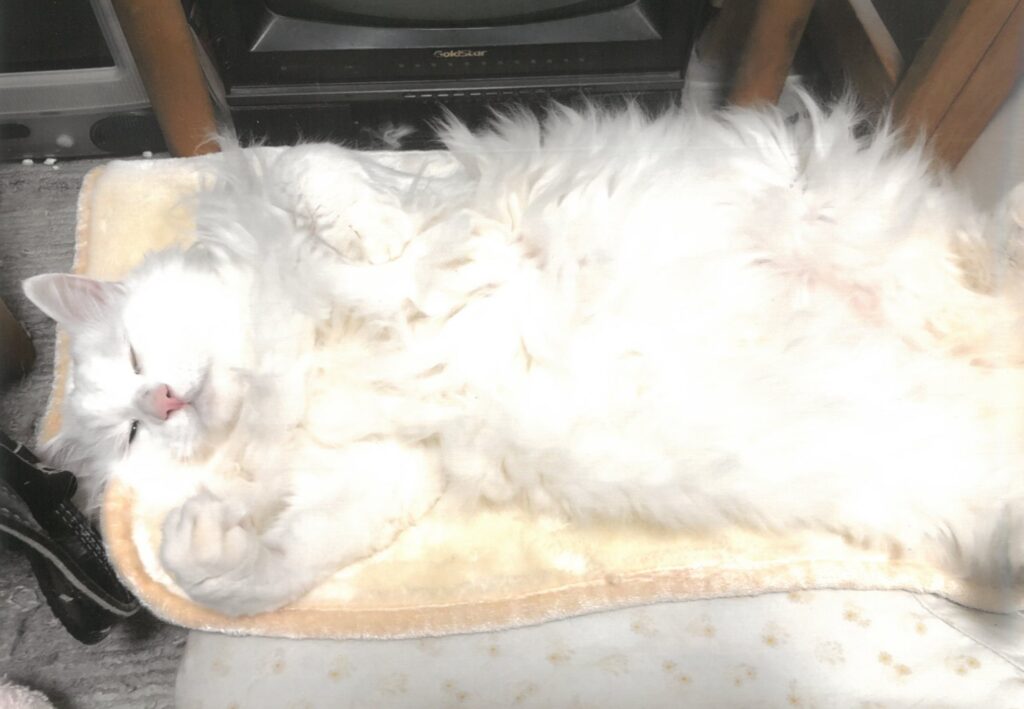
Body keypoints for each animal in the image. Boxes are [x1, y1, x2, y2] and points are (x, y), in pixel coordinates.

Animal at [23, 94, 1024, 617]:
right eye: (130, 437)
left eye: (137, 355)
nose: (160, 402)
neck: (293, 362)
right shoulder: (390, 466)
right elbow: (264, 571)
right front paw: (205, 547)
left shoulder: (341, 194)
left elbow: (328, 176)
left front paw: (376, 249)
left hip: (875, 234)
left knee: (989, 266)